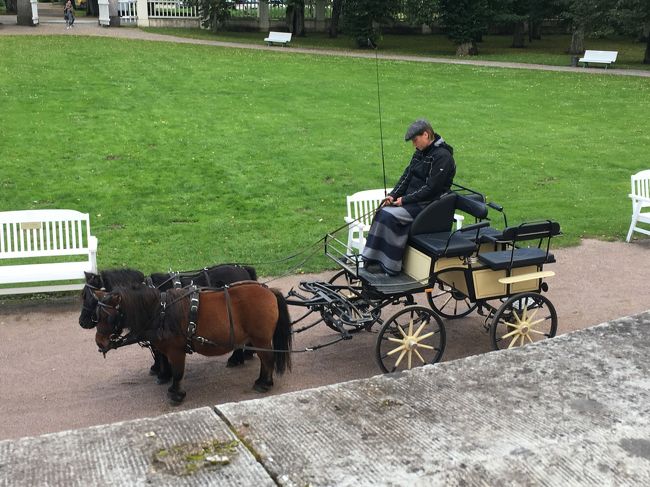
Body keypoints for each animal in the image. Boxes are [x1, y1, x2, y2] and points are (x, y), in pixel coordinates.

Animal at [93, 282, 292, 403]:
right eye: (97, 315)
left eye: (108, 317)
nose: (99, 342)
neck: (162, 311)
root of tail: (269, 291)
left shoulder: (176, 350)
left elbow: (178, 372)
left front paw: (176, 394)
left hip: (261, 339)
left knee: (268, 359)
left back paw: (264, 383)